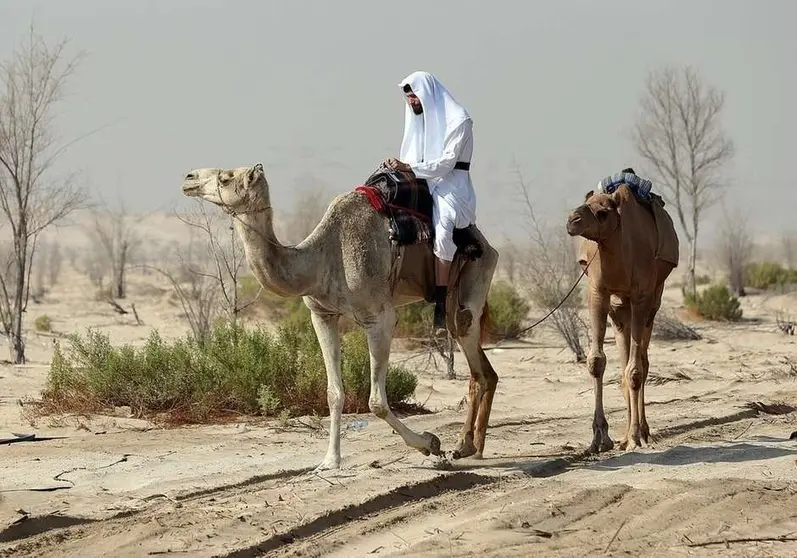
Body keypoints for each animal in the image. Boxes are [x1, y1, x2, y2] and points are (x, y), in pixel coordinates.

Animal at [183, 164, 500, 470]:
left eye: (225, 178)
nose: (189, 178)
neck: (320, 259)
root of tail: (487, 243)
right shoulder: (322, 315)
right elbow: (333, 393)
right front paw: (329, 461)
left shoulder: (380, 318)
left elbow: (376, 402)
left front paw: (429, 443)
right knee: (482, 368)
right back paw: (471, 446)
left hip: (476, 273)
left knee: (473, 354)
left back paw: (466, 446)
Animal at [564, 184, 676, 456]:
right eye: (587, 201)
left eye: (602, 212)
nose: (572, 220)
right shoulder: (597, 291)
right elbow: (596, 361)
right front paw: (599, 438)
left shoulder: (642, 296)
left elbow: (635, 370)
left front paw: (635, 437)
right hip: (619, 311)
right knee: (626, 361)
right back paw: (625, 434)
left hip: (653, 303)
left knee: (642, 363)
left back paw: (640, 432)